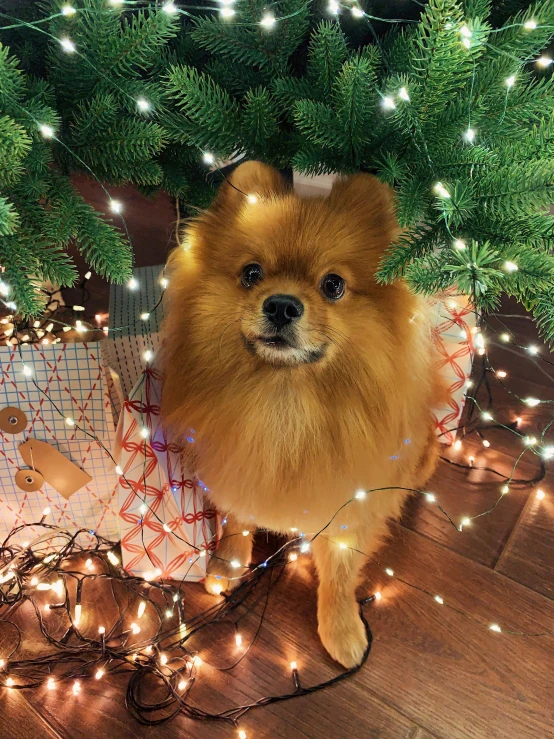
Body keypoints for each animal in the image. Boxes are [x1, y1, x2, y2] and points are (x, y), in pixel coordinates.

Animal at [158, 162, 440, 672]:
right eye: (251, 274)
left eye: (333, 285)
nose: (282, 304)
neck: (285, 404)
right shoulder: (235, 468)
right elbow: (237, 523)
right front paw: (226, 566)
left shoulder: (351, 504)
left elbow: (340, 574)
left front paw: (342, 629)